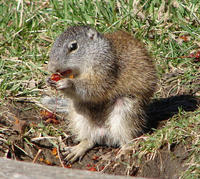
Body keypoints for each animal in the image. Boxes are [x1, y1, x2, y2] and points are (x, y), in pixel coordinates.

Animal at [46, 25, 157, 163]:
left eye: (73, 46)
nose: (51, 68)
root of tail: (104, 134)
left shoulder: (106, 70)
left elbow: (94, 88)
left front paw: (67, 83)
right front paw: (50, 81)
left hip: (125, 110)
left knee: (127, 140)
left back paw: (124, 151)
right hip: (79, 113)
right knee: (89, 139)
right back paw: (77, 149)